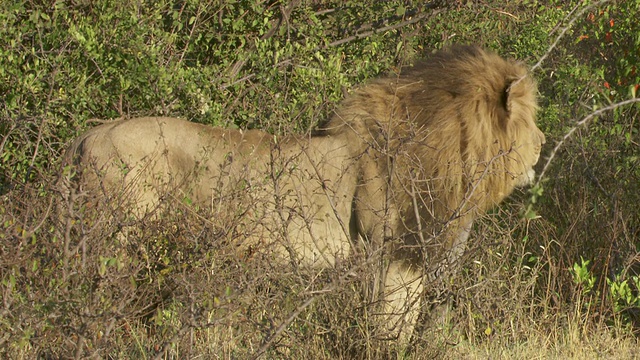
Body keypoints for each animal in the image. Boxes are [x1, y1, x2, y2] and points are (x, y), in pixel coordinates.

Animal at [63, 46, 544, 344]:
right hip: (116, 244)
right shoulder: (390, 253)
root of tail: (85, 136)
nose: (542, 143)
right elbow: (393, 326)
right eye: (530, 121)